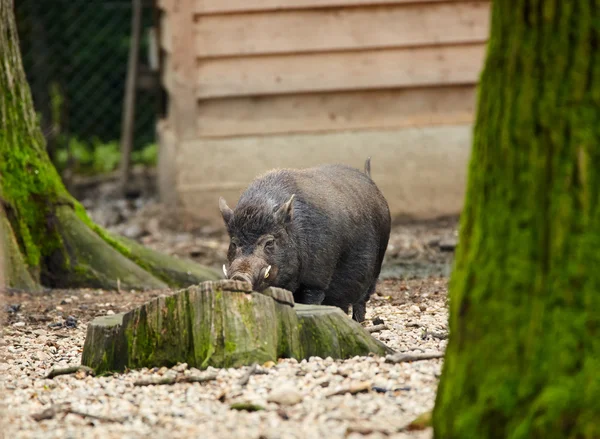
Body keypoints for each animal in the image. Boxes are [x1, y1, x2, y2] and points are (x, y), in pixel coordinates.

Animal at [218, 159, 392, 324]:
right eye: (233, 243)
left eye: (269, 242)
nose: (239, 276)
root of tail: (369, 179)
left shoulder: (316, 280)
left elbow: (311, 300)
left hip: (376, 266)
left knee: (361, 299)